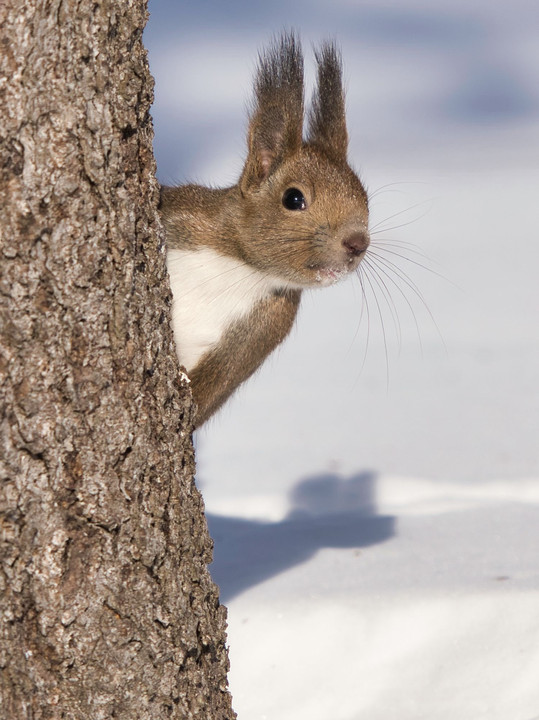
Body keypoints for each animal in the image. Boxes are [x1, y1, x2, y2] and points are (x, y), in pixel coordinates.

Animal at [161, 32, 372, 428]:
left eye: (365, 196)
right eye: (293, 198)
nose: (358, 243)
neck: (241, 267)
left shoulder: (265, 328)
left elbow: (214, 385)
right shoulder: (182, 219)